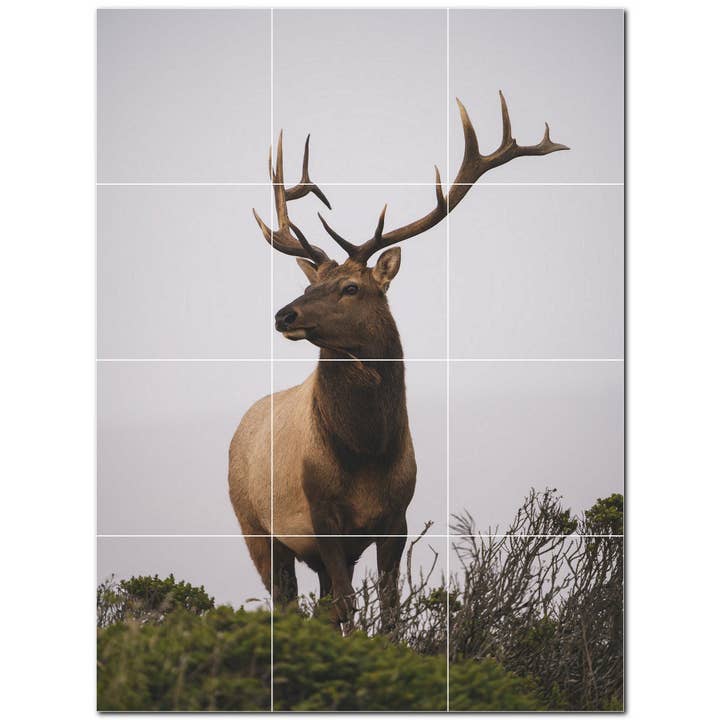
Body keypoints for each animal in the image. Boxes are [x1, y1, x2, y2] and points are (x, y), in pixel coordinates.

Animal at [228, 92, 567, 628]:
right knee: (285, 600)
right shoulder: (321, 515)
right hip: (255, 527)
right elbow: (347, 606)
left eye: (351, 287)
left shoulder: (396, 518)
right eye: (310, 283)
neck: (367, 451)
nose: (284, 314)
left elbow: (389, 607)